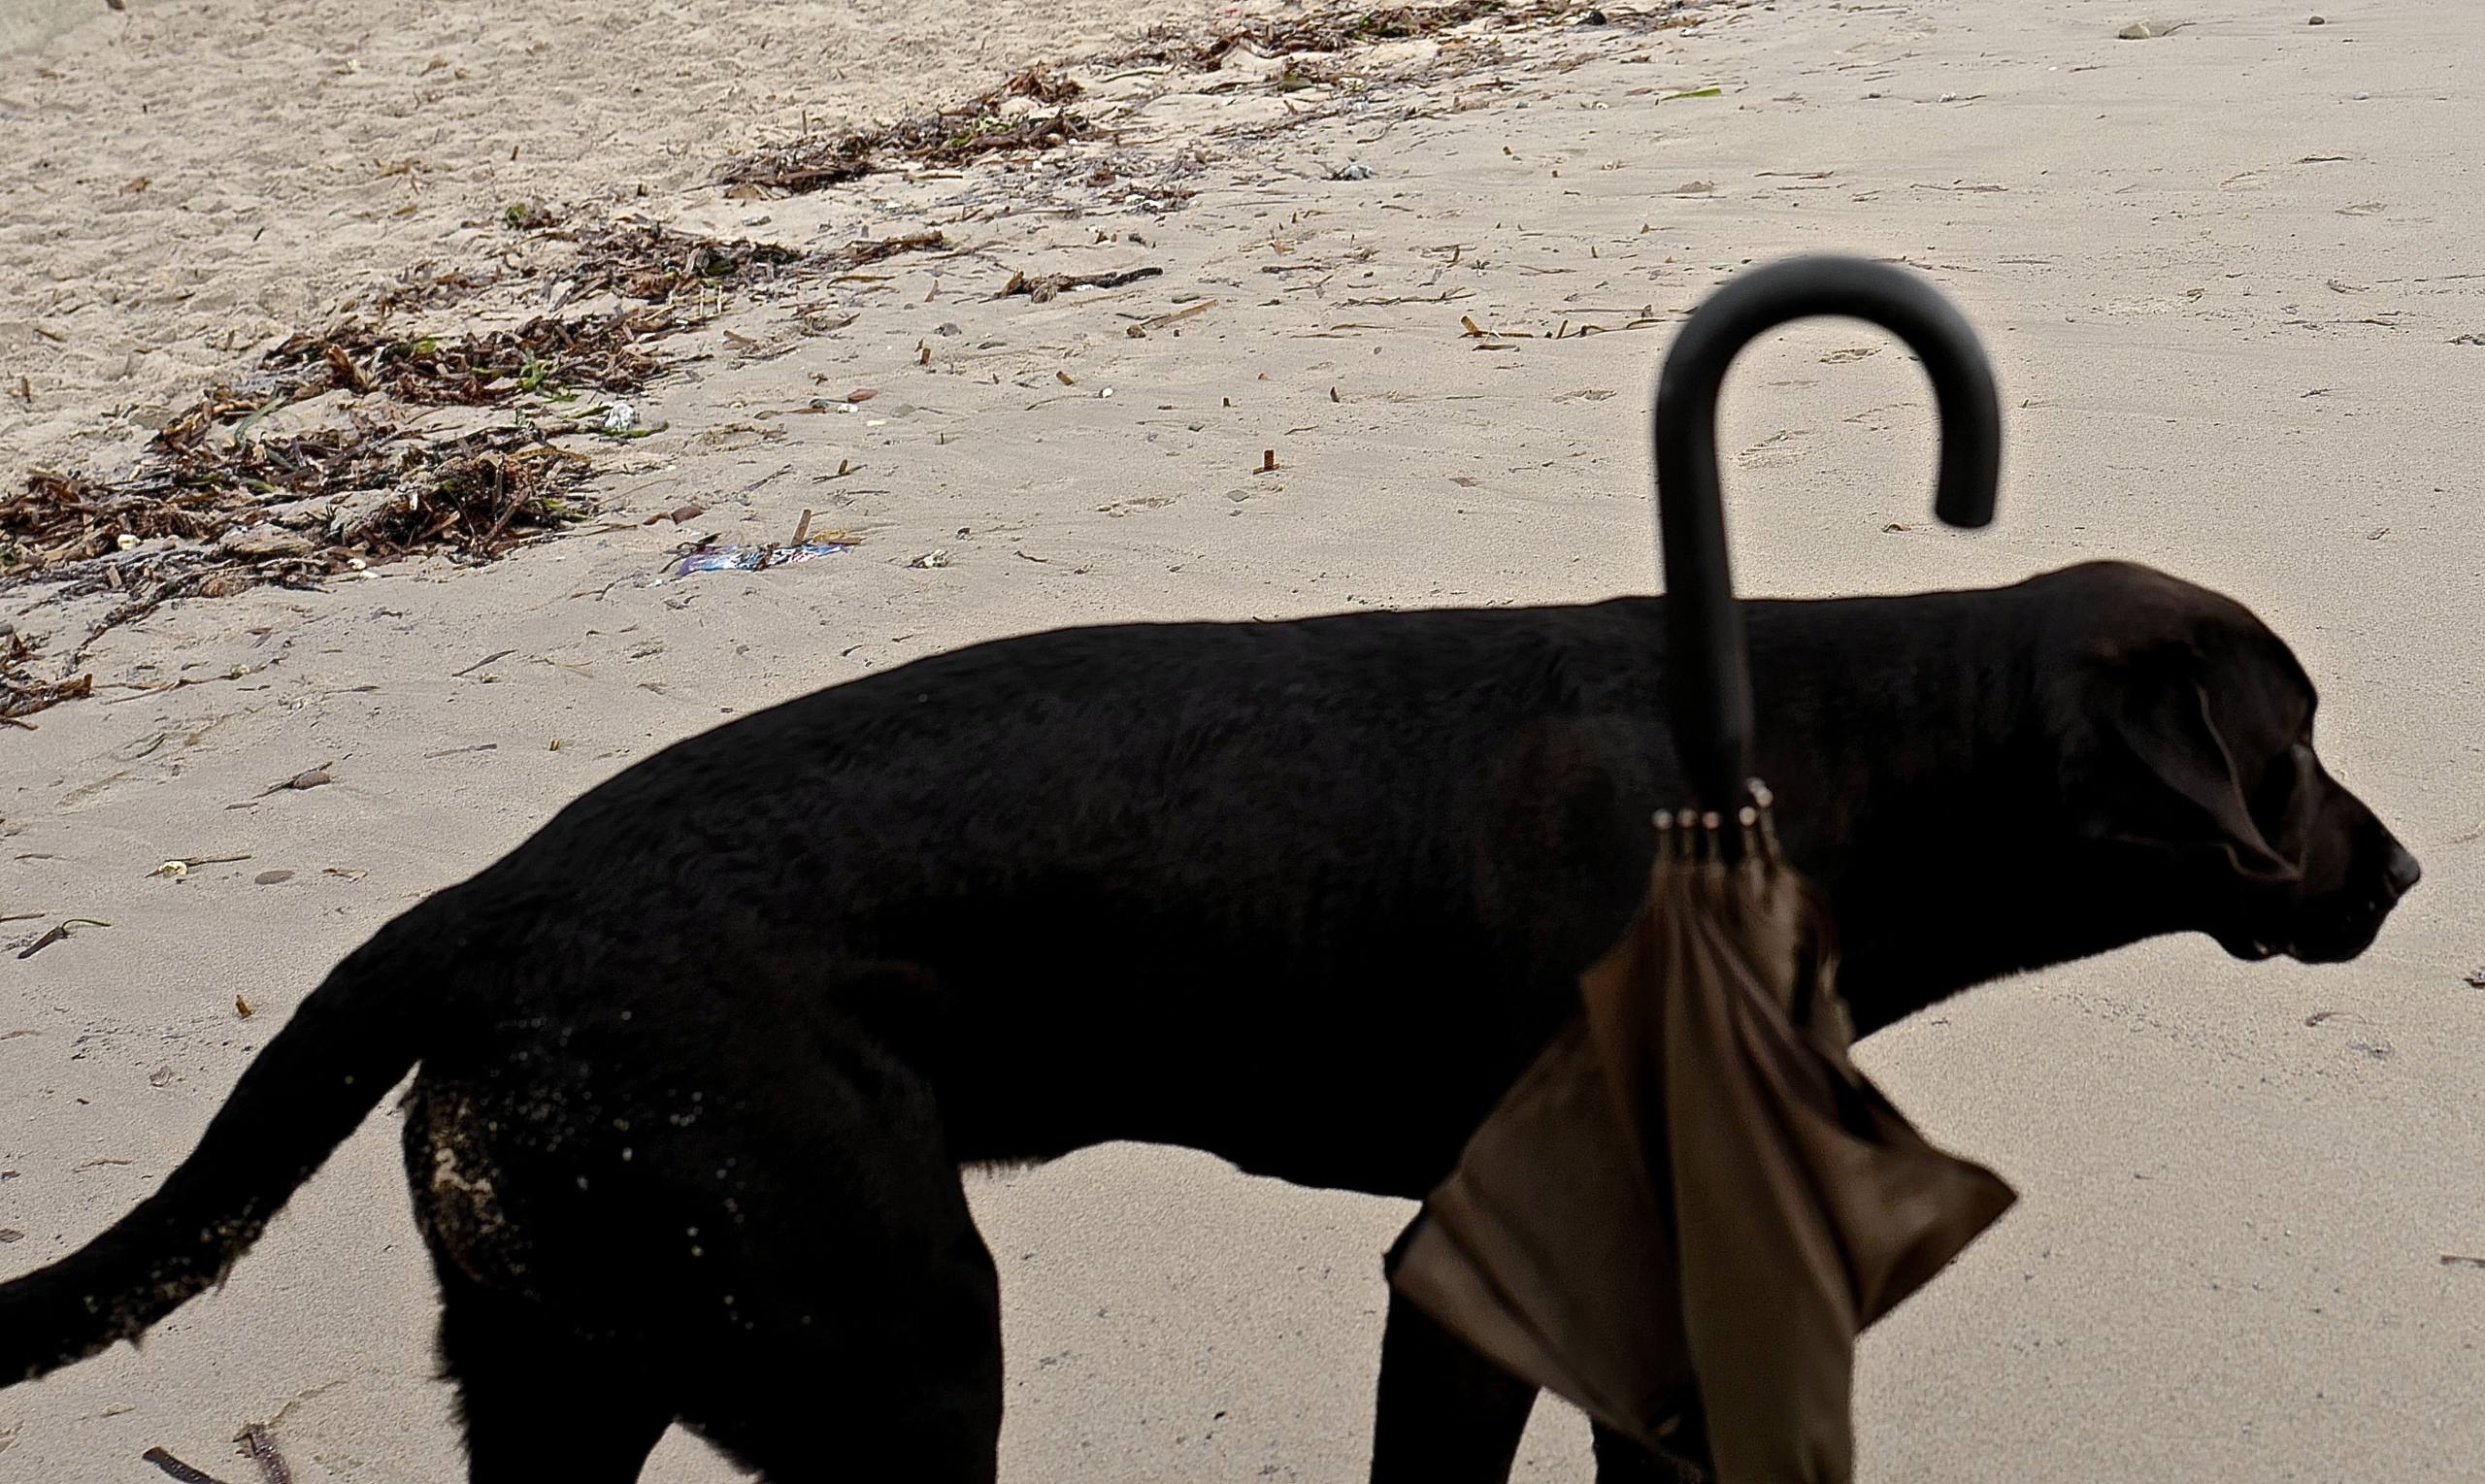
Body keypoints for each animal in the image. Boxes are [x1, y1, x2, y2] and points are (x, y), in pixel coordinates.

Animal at [0, 559, 2405, 1481]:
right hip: (884, 1343)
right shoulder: (1470, 1271)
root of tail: (479, 905)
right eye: (2291, 750)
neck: (1815, 770)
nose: (2395, 873)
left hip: (570, 1357)